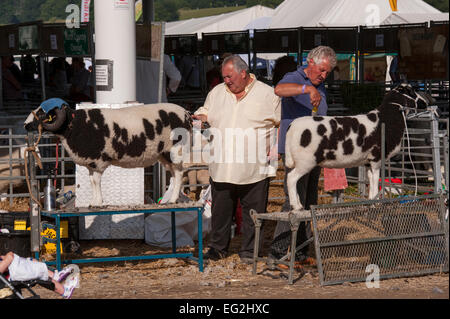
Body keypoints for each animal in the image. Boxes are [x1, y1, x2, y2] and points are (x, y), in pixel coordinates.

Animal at [24, 102, 192, 208]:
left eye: (42, 113)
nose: (25, 124)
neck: (74, 125)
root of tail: (187, 114)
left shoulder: (98, 161)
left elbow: (96, 182)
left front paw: (98, 203)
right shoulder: (91, 163)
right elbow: (92, 181)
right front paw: (93, 202)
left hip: (175, 150)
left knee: (178, 174)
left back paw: (173, 200)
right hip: (164, 155)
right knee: (173, 174)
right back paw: (170, 199)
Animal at [286, 84, 434, 211]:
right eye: (412, 92)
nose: (426, 102)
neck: (388, 118)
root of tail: (291, 127)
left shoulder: (368, 162)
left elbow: (371, 180)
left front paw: (371, 201)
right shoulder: (377, 158)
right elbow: (375, 182)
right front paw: (376, 204)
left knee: (293, 179)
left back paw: (298, 203)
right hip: (306, 162)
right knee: (291, 179)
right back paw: (296, 206)